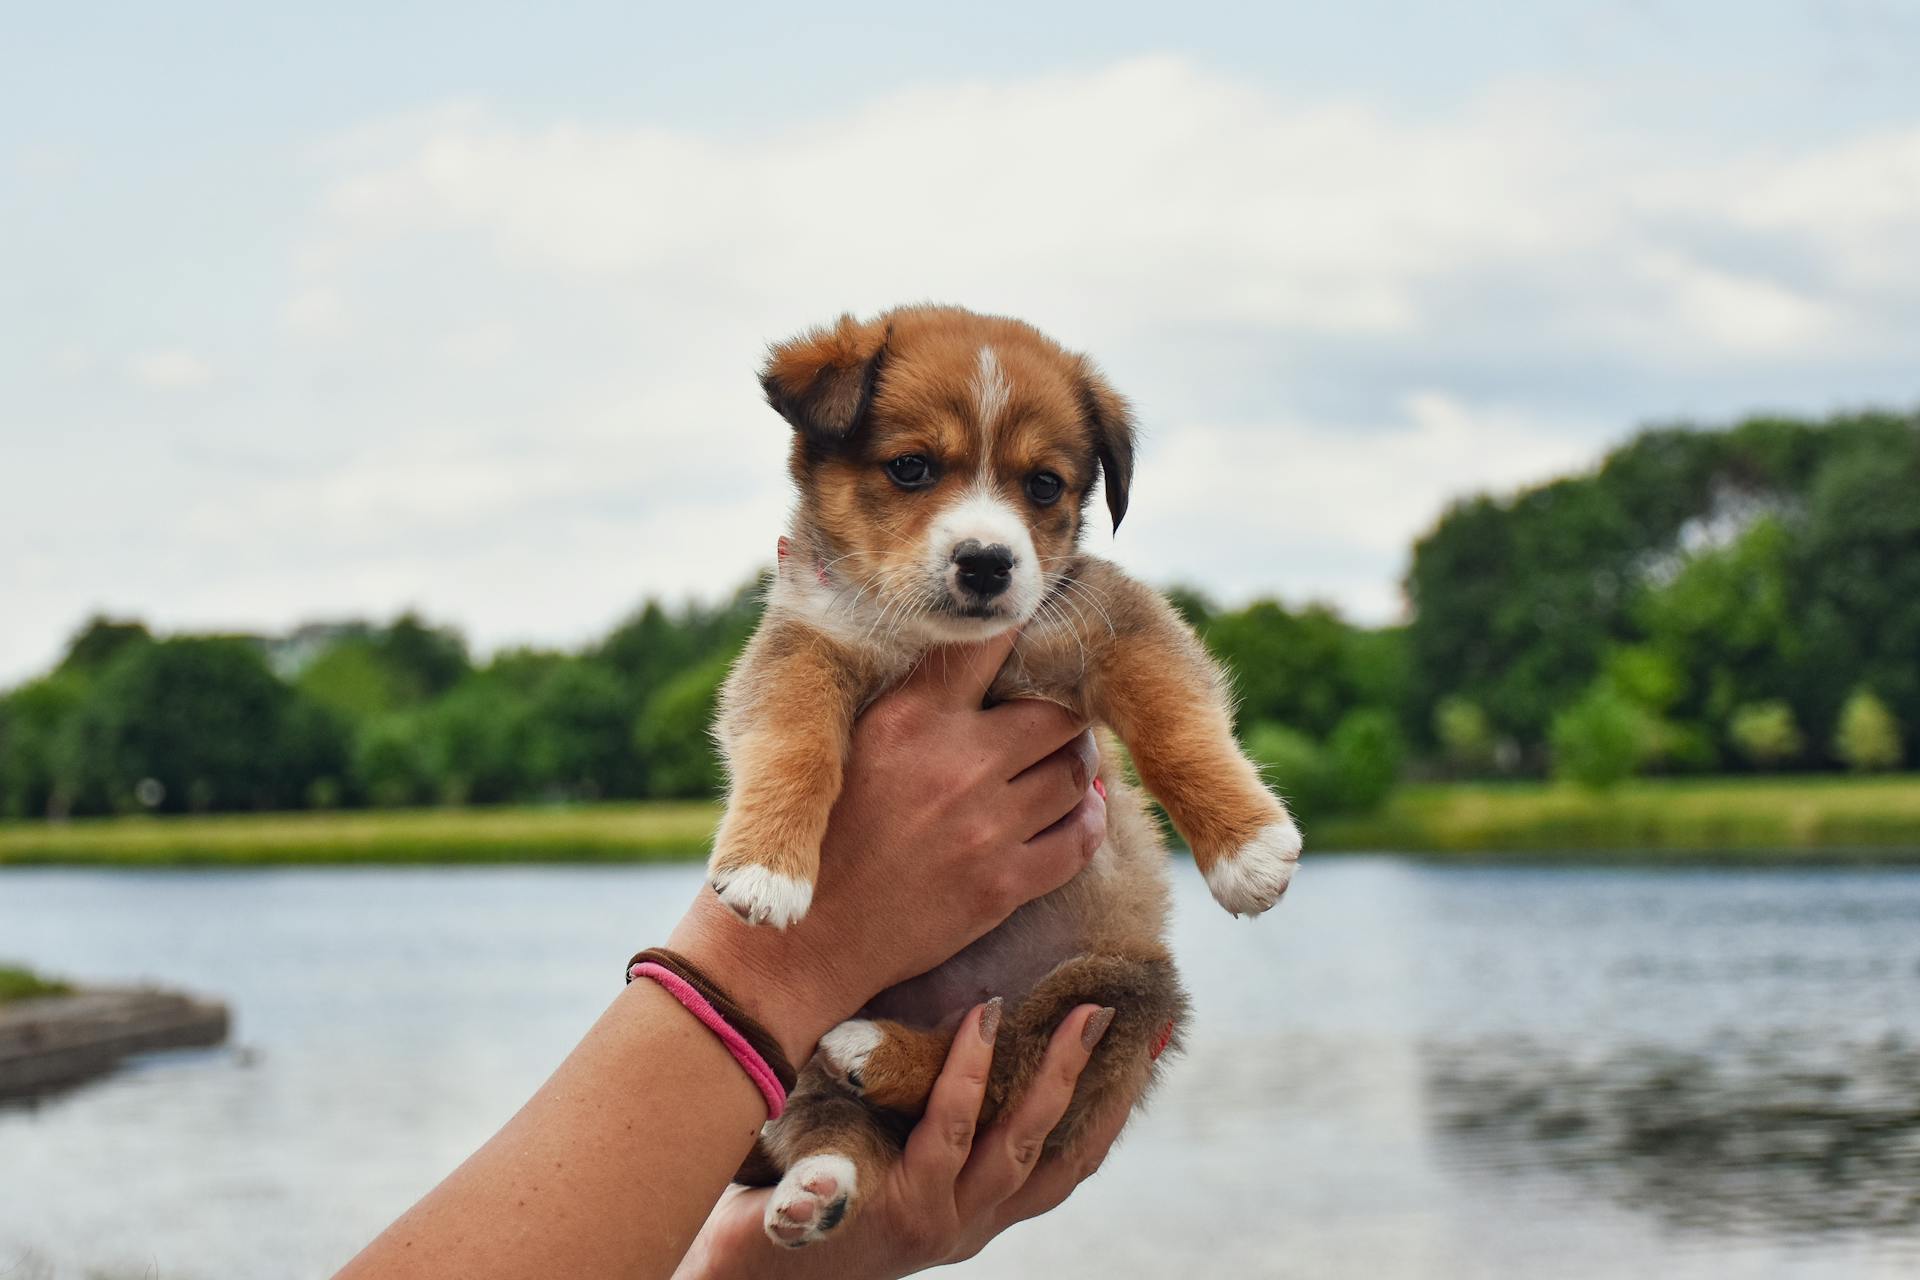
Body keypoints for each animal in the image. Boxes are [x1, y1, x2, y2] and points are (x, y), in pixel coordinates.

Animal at [714, 305, 1297, 1243]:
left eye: (1046, 485)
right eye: (912, 467)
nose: (987, 561)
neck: (935, 645)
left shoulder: (1111, 621)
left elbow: (1176, 721)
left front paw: (1247, 851)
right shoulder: (803, 647)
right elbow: (791, 742)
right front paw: (767, 866)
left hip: (1116, 994)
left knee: (995, 1057)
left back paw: (877, 1059)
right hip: (800, 1039)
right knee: (836, 1116)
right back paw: (817, 1181)